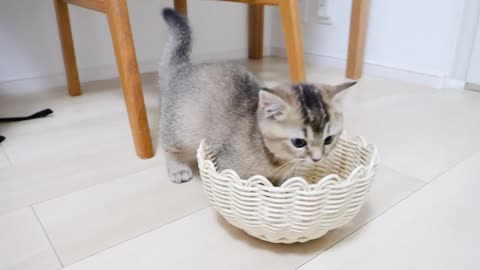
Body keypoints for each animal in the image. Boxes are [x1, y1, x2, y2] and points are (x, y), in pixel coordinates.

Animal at [158, 8, 356, 186]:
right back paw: (177, 169)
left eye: (328, 139)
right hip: (180, 126)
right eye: (299, 142)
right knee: (168, 145)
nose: (317, 158)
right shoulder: (229, 168)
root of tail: (183, 67)